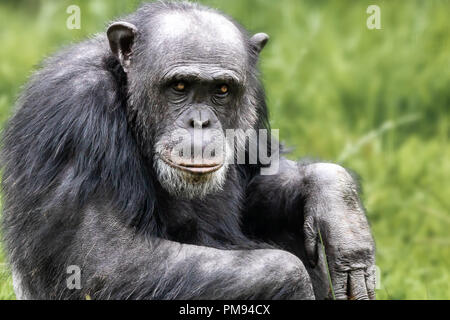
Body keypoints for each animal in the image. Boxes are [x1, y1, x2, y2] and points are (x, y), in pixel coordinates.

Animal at [1, 0, 374, 300]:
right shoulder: (76, 113)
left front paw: (335, 197)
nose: (201, 122)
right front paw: (292, 276)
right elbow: (101, 259)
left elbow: (259, 176)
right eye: (180, 86)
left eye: (222, 90)